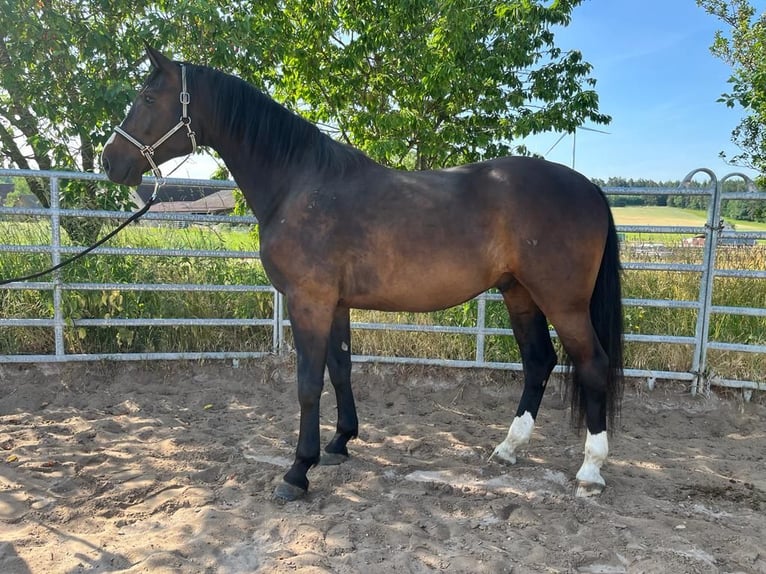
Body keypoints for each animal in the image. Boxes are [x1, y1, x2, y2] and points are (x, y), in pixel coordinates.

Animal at [102, 47, 628, 502]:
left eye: (148, 98)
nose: (110, 161)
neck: (299, 183)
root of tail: (589, 189)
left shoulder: (308, 301)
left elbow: (307, 383)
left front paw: (298, 471)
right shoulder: (335, 304)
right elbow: (340, 369)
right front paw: (340, 444)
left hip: (563, 302)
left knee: (592, 364)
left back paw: (590, 471)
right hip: (519, 293)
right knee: (538, 361)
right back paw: (508, 449)